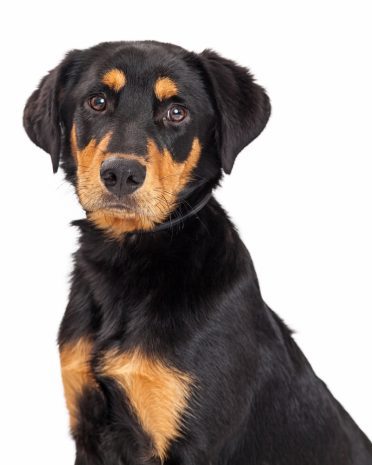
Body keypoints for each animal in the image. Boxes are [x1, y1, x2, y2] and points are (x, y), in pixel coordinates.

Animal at [24, 41, 372, 462]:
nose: (121, 174)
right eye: (97, 101)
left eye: (177, 112)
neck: (130, 260)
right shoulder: (87, 429)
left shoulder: (190, 441)